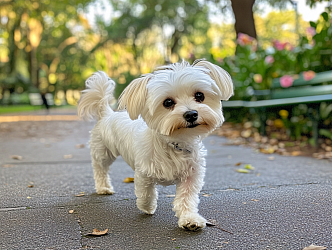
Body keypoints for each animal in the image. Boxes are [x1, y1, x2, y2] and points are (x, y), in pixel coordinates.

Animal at [78, 59, 233, 231]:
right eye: (168, 102)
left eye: (199, 95)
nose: (191, 114)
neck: (174, 143)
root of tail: (107, 113)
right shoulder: (144, 172)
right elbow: (146, 192)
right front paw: (147, 207)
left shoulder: (191, 176)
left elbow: (186, 199)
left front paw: (190, 219)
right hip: (103, 153)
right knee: (100, 169)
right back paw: (103, 188)